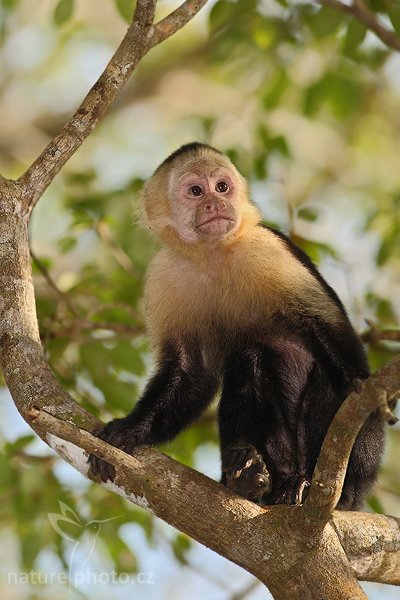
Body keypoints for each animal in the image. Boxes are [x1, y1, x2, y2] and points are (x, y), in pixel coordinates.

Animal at [90, 143, 384, 508]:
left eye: (222, 187)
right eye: (195, 191)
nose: (215, 203)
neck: (214, 254)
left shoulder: (266, 249)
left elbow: (325, 328)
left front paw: (358, 388)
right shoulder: (165, 275)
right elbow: (191, 372)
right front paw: (130, 429)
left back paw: (311, 483)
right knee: (248, 358)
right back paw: (250, 477)